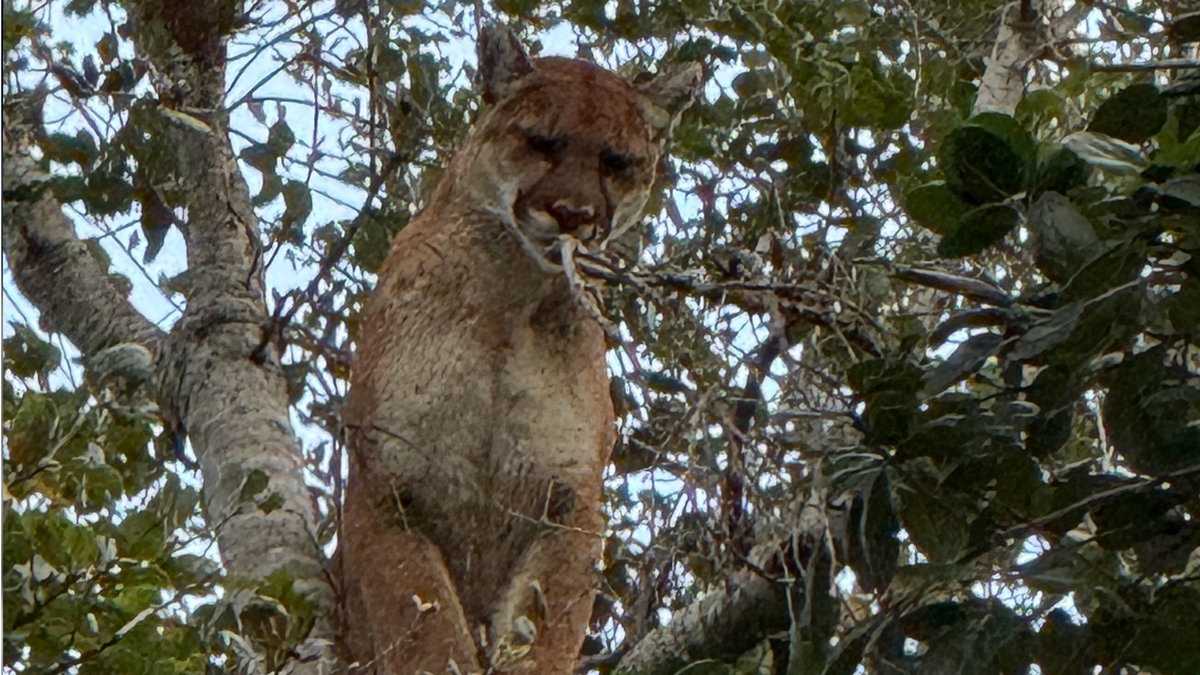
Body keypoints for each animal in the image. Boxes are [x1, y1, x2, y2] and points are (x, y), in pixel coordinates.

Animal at [340, 25, 699, 673]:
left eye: (618, 161)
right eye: (542, 142)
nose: (573, 214)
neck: (507, 299)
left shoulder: (570, 501)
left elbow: (543, 631)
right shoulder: (387, 485)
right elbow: (423, 625)